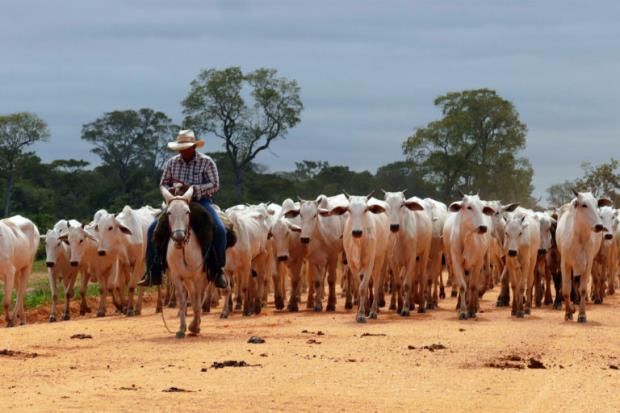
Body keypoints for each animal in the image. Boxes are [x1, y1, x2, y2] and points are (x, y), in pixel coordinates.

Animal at [160, 187, 208, 338]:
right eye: (169, 212)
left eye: (187, 212)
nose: (179, 237)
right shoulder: (176, 276)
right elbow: (182, 299)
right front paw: (182, 328)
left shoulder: (199, 276)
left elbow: (198, 300)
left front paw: (194, 327)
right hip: (187, 279)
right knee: (192, 296)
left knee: (200, 296)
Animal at [324, 194, 388, 322]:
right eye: (349, 210)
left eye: (365, 210)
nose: (356, 232)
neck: (359, 243)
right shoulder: (351, 263)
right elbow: (359, 287)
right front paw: (359, 313)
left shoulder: (369, 262)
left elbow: (363, 288)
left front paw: (362, 314)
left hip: (380, 258)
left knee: (377, 282)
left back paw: (373, 311)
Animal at [556, 190, 612, 322]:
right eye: (584, 205)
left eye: (596, 205)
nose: (599, 226)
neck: (579, 237)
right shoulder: (565, 263)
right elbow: (566, 289)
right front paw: (568, 312)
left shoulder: (588, 263)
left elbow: (582, 289)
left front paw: (582, 315)